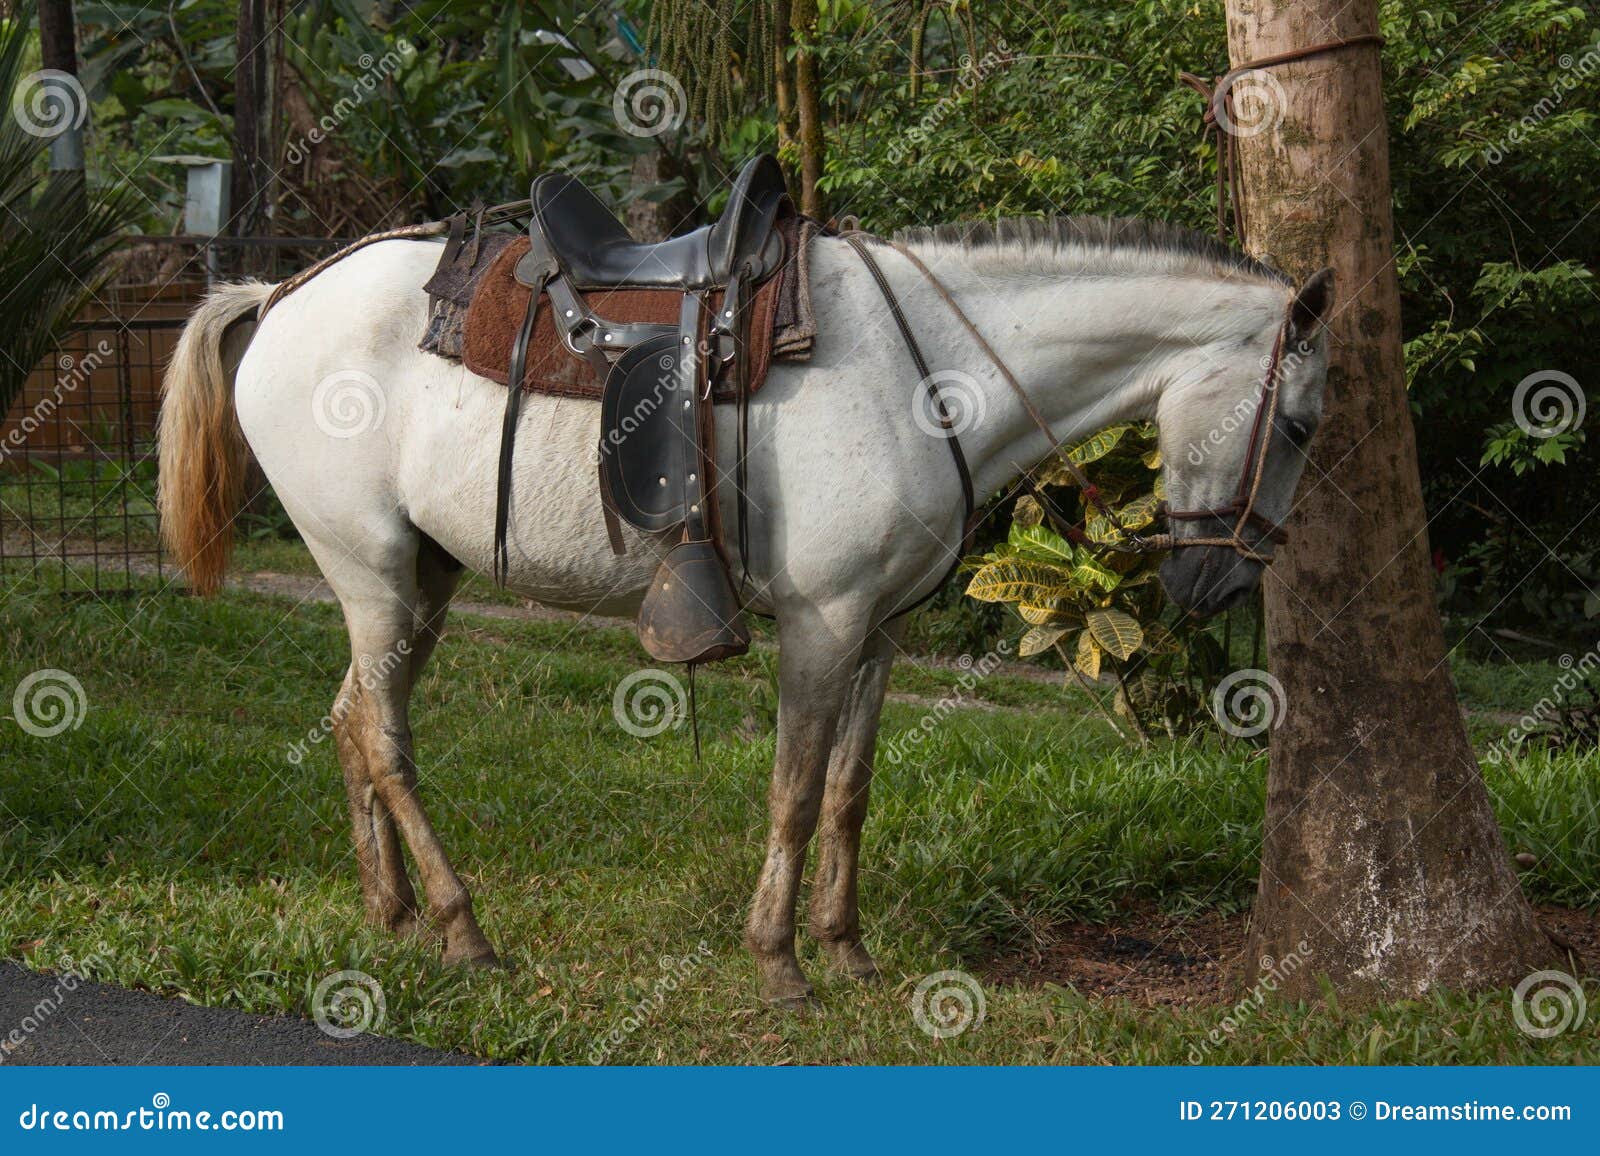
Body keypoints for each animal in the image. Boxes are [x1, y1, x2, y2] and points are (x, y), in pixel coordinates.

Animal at [159, 217, 1337, 999]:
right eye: (1300, 425)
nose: (1221, 582)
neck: (933, 377)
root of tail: (283, 292)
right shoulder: (824, 621)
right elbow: (795, 791)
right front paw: (778, 959)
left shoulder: (880, 630)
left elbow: (850, 792)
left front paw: (847, 948)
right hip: (371, 573)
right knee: (385, 740)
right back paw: (460, 928)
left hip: (419, 578)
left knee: (353, 720)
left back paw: (391, 911)